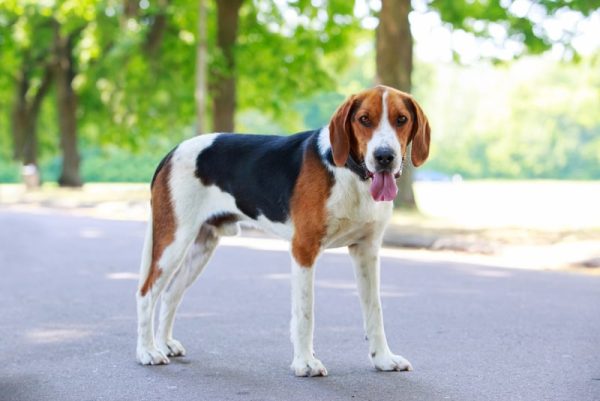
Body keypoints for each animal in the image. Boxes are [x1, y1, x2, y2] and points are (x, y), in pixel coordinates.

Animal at [135, 84, 428, 376]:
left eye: (401, 119)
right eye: (364, 119)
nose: (384, 157)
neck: (352, 174)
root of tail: (172, 152)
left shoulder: (366, 251)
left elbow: (375, 312)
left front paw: (383, 359)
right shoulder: (304, 249)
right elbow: (305, 313)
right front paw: (305, 362)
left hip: (201, 246)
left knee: (171, 293)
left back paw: (165, 343)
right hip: (173, 242)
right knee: (146, 293)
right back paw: (148, 351)